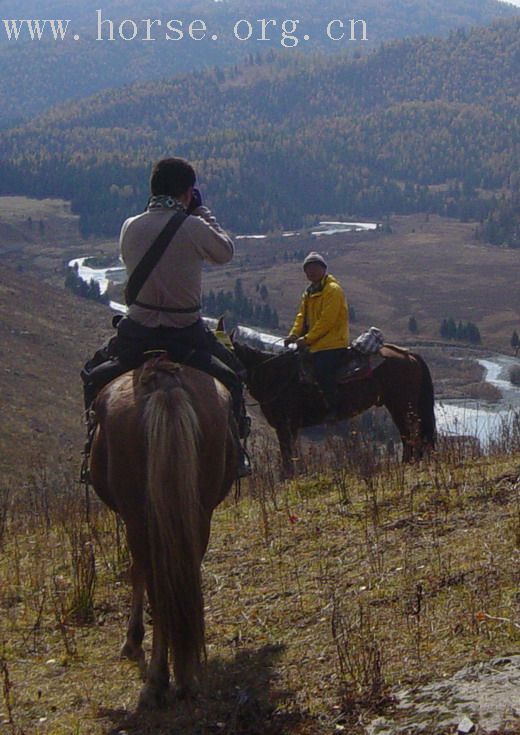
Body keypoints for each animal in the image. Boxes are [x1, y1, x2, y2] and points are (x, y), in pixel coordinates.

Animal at [89, 358, 236, 712]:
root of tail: (165, 381)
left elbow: (137, 572)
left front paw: (132, 640)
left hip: (139, 516)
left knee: (157, 585)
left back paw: (157, 681)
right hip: (197, 511)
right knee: (182, 573)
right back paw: (186, 675)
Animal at [232, 340, 434, 478]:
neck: (276, 376)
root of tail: (409, 355)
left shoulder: (285, 426)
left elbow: (287, 454)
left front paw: (287, 479)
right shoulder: (289, 428)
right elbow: (290, 453)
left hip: (401, 405)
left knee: (412, 434)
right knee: (408, 435)